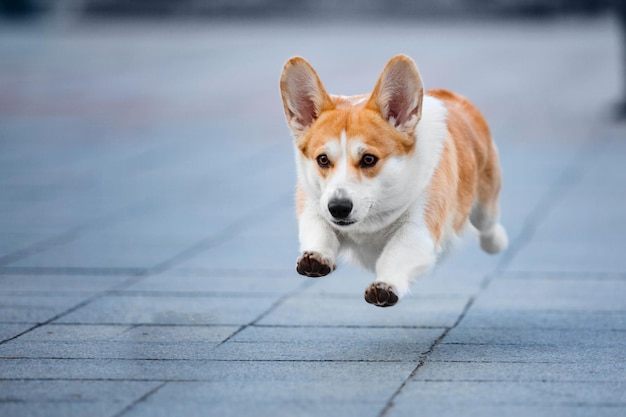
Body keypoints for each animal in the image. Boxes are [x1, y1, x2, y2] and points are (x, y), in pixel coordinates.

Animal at [280, 54, 508, 306]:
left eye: (369, 159)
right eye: (322, 159)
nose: (338, 208)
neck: (371, 219)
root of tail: (449, 95)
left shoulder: (418, 228)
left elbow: (394, 254)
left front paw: (384, 286)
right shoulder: (314, 204)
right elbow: (319, 230)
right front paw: (316, 257)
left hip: (484, 204)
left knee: (487, 225)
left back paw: (496, 242)